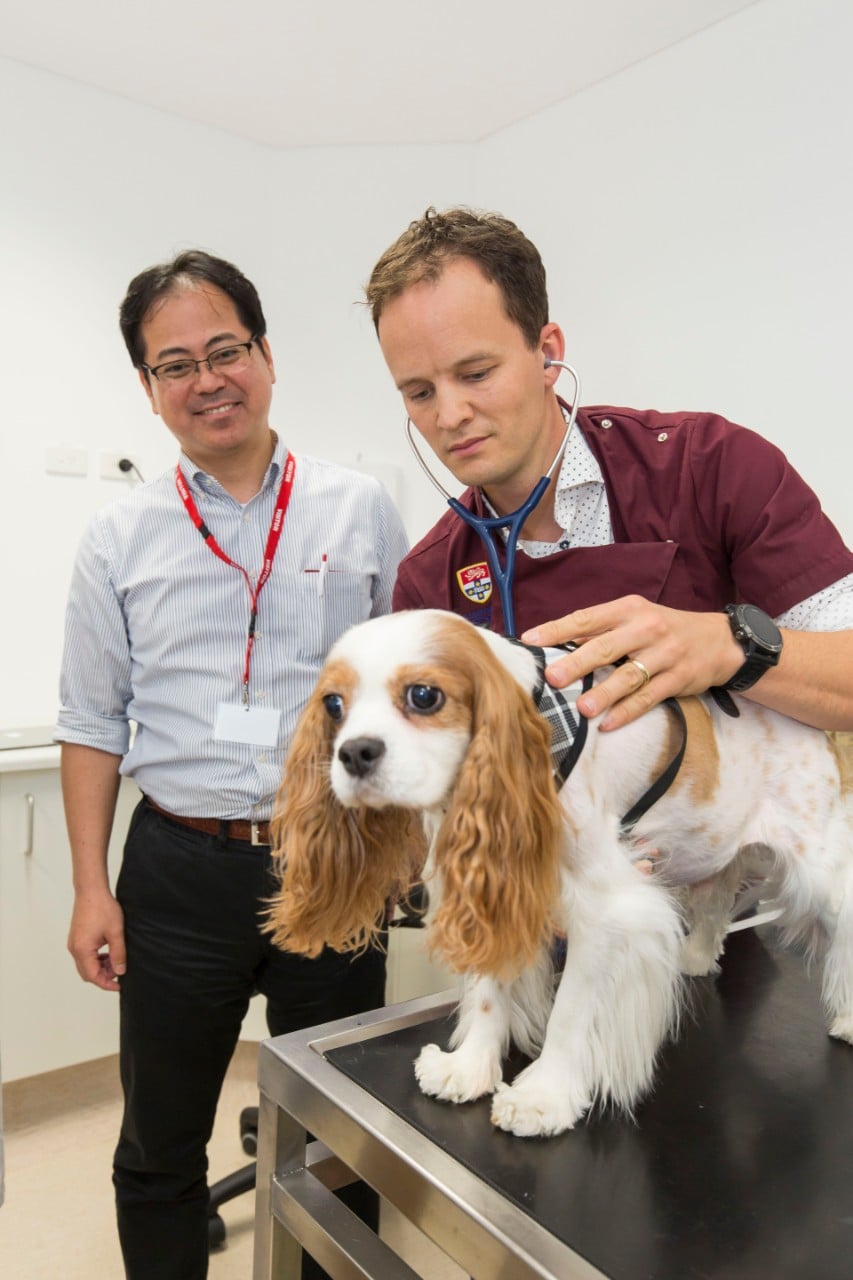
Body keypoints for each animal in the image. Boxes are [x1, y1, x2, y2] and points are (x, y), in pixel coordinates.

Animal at [267, 609, 850, 1141]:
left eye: (424, 696)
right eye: (333, 704)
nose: (354, 753)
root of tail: (815, 734)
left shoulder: (605, 910)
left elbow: (572, 1011)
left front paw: (543, 1097)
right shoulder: (495, 885)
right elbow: (489, 989)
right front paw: (471, 1067)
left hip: (817, 866)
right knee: (714, 902)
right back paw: (696, 958)